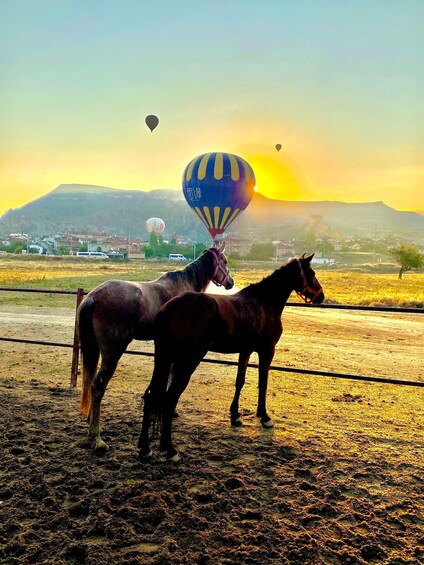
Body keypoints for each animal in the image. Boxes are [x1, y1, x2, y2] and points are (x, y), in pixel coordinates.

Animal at [78, 242, 234, 450]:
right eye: (224, 261)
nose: (231, 282)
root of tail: (93, 298)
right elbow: (172, 377)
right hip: (112, 353)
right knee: (98, 386)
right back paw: (97, 438)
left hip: (93, 349)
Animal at [139, 253, 324, 460]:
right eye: (312, 273)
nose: (321, 296)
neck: (264, 302)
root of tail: (168, 309)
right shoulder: (267, 351)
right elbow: (263, 383)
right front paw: (265, 417)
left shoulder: (246, 350)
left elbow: (240, 382)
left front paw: (235, 416)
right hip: (187, 360)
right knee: (169, 400)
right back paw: (169, 449)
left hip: (164, 358)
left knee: (151, 396)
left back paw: (145, 448)